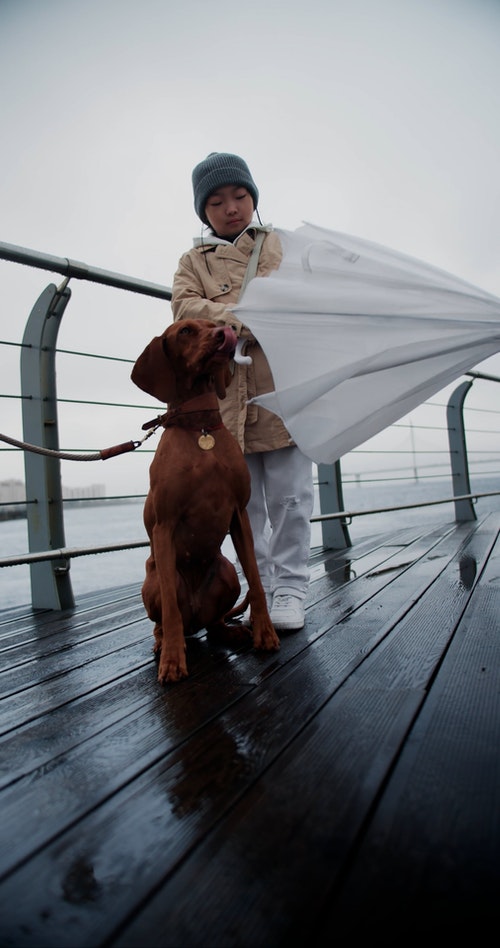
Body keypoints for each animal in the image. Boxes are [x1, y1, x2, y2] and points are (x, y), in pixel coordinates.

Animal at [131, 318, 280, 680]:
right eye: (185, 330)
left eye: (214, 324)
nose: (224, 332)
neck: (200, 428)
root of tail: (195, 619)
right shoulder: (164, 525)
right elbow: (170, 609)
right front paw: (173, 661)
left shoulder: (240, 515)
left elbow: (257, 581)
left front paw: (265, 632)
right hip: (155, 580)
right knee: (166, 618)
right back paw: (163, 642)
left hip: (226, 572)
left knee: (215, 625)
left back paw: (231, 631)